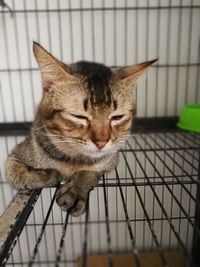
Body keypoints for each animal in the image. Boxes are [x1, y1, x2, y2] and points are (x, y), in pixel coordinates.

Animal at [5, 42, 156, 218]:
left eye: (117, 117)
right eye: (78, 116)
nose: (102, 142)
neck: (72, 159)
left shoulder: (111, 160)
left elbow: (89, 171)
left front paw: (75, 189)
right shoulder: (15, 155)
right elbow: (15, 173)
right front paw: (49, 174)